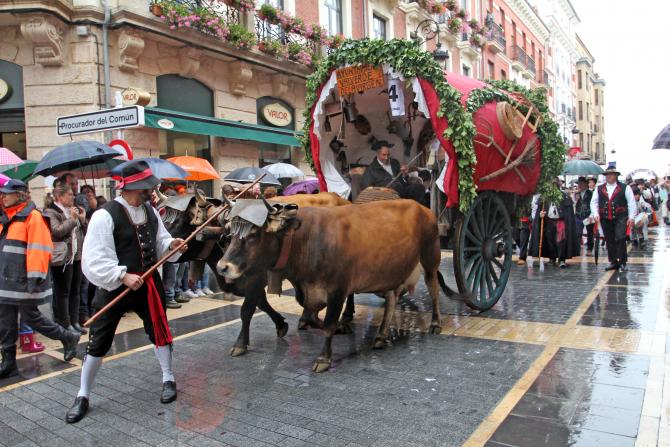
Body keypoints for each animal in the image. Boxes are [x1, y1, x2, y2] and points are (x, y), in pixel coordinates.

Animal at [216, 198, 444, 373]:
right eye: (230, 234)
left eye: (254, 234)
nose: (221, 267)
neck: (307, 239)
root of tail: (421, 207)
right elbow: (308, 318)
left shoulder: (338, 290)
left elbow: (328, 325)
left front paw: (323, 359)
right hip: (392, 270)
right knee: (391, 298)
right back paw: (380, 336)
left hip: (430, 257)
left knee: (433, 289)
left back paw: (435, 323)